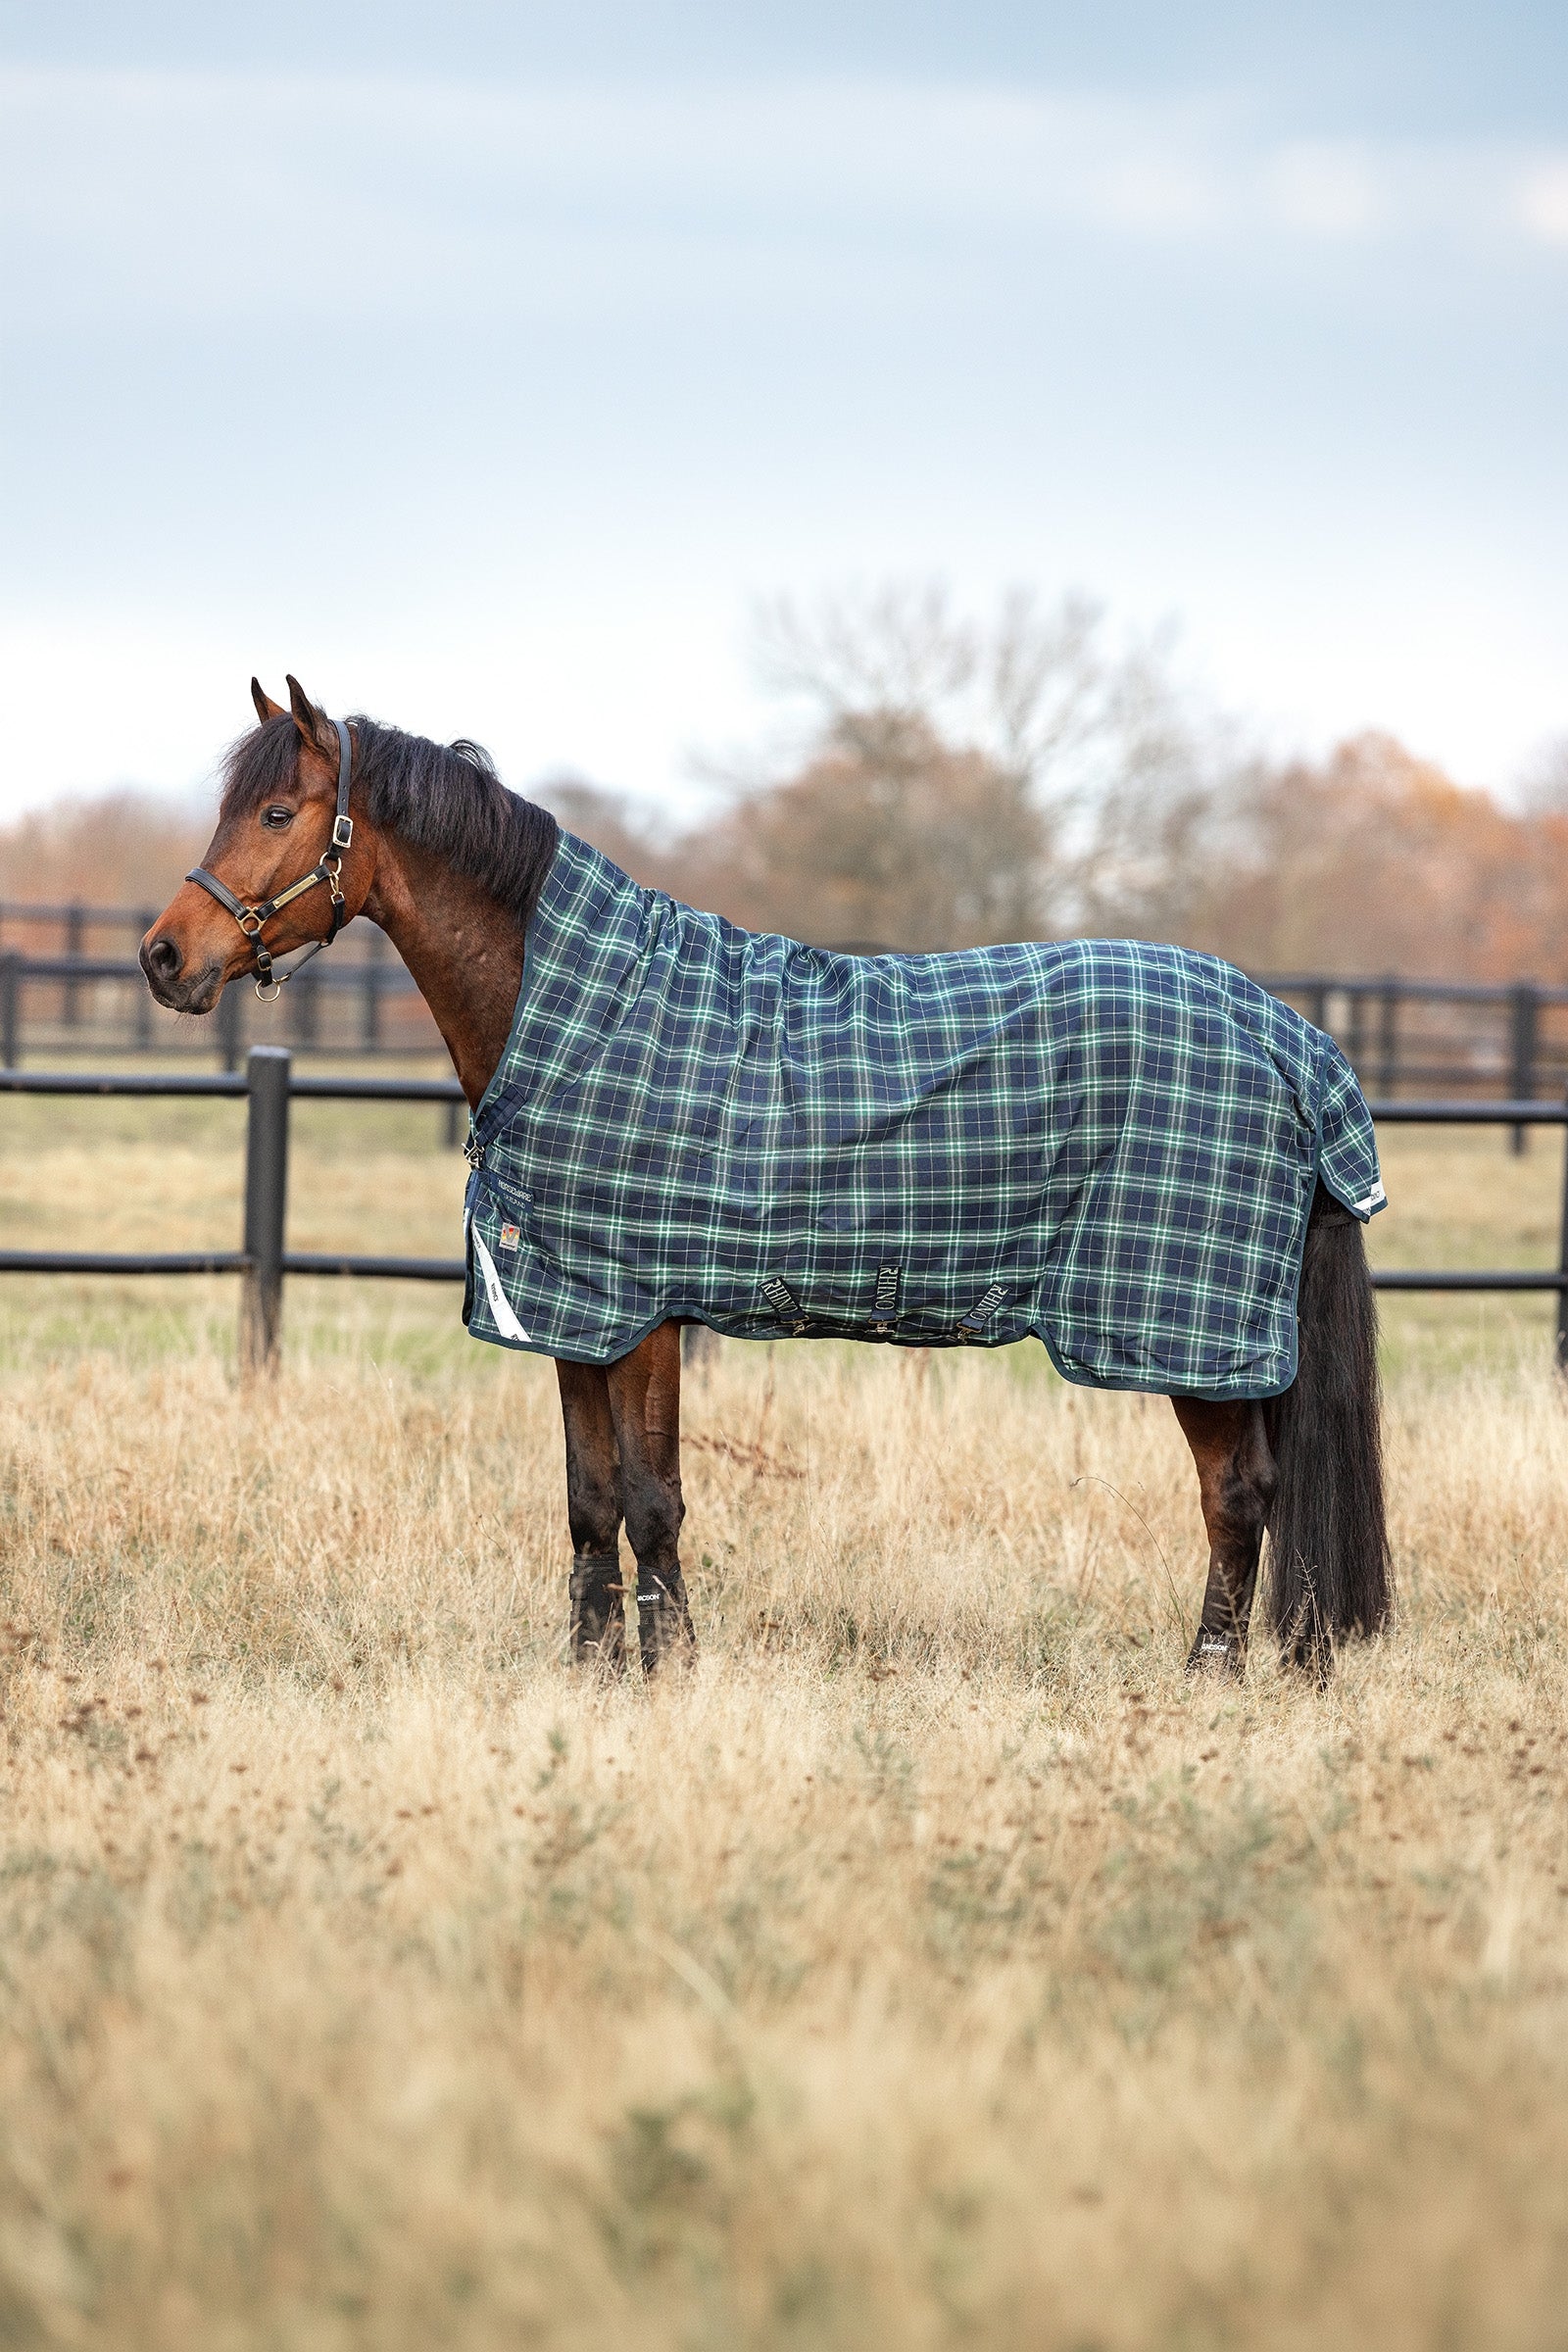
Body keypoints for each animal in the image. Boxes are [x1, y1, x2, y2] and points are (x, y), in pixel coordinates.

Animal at [141, 677, 1391, 1682]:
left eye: (275, 812)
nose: (163, 957)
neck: (585, 1019)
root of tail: (1285, 1035)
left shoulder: (643, 1314)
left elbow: (652, 1499)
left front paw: (670, 1672)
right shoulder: (572, 1313)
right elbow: (589, 1500)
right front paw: (594, 1672)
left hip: (1190, 1336)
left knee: (1239, 1494)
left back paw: (1207, 1674)